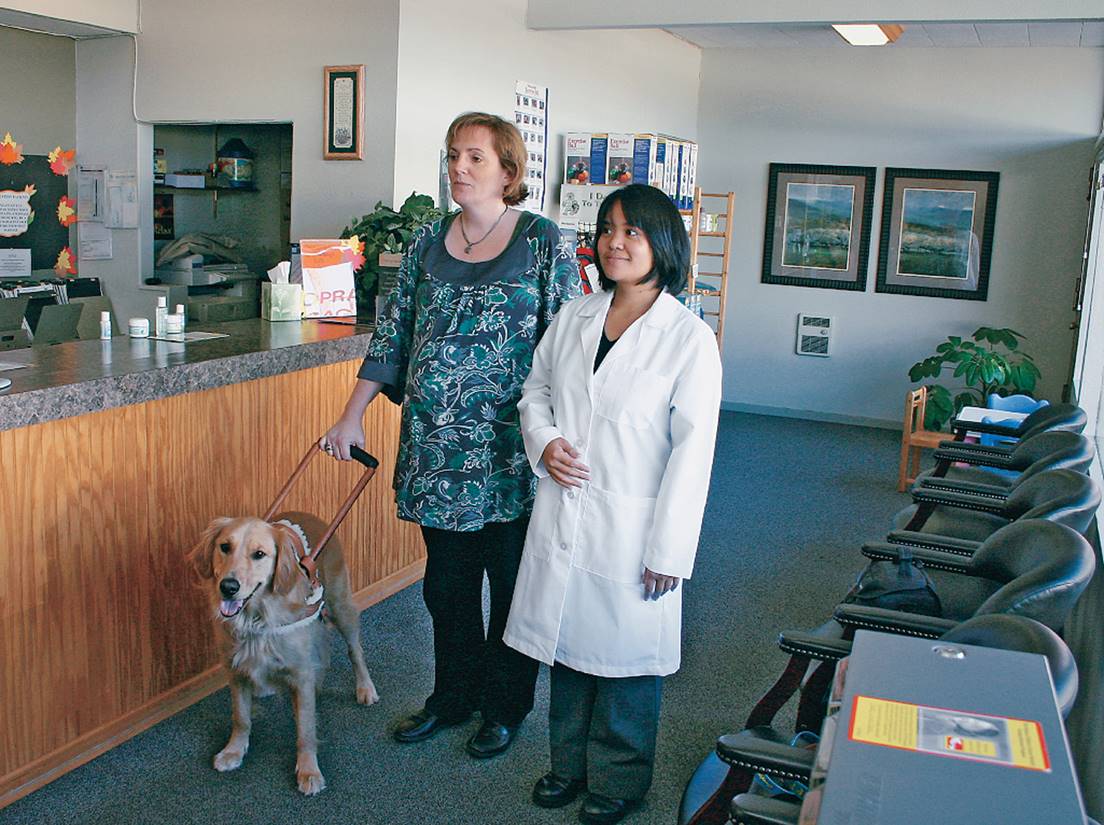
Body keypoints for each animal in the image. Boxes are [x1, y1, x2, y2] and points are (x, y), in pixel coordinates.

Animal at [189, 510, 379, 795]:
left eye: (259, 554)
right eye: (224, 547)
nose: (228, 586)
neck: (257, 618)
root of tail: (311, 515)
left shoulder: (300, 674)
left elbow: (305, 730)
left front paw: (309, 770)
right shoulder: (234, 669)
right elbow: (241, 717)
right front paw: (234, 750)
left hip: (340, 605)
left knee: (355, 651)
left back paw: (365, 687)